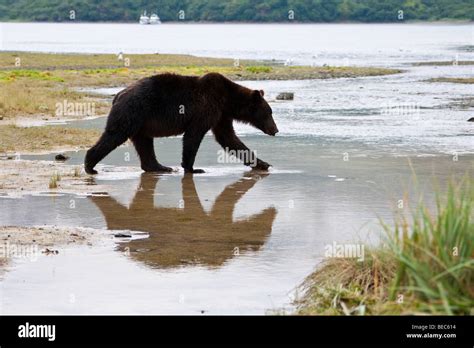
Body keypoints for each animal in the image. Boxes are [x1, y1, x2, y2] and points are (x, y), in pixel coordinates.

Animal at [84, 71, 278, 174]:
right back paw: (90, 165)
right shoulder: (206, 108)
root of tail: (118, 95)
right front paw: (193, 168)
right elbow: (194, 135)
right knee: (116, 134)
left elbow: (229, 138)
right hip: (133, 111)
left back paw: (159, 167)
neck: (227, 101)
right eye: (269, 112)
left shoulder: (221, 115)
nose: (275, 130)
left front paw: (263, 163)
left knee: (144, 142)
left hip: (142, 121)